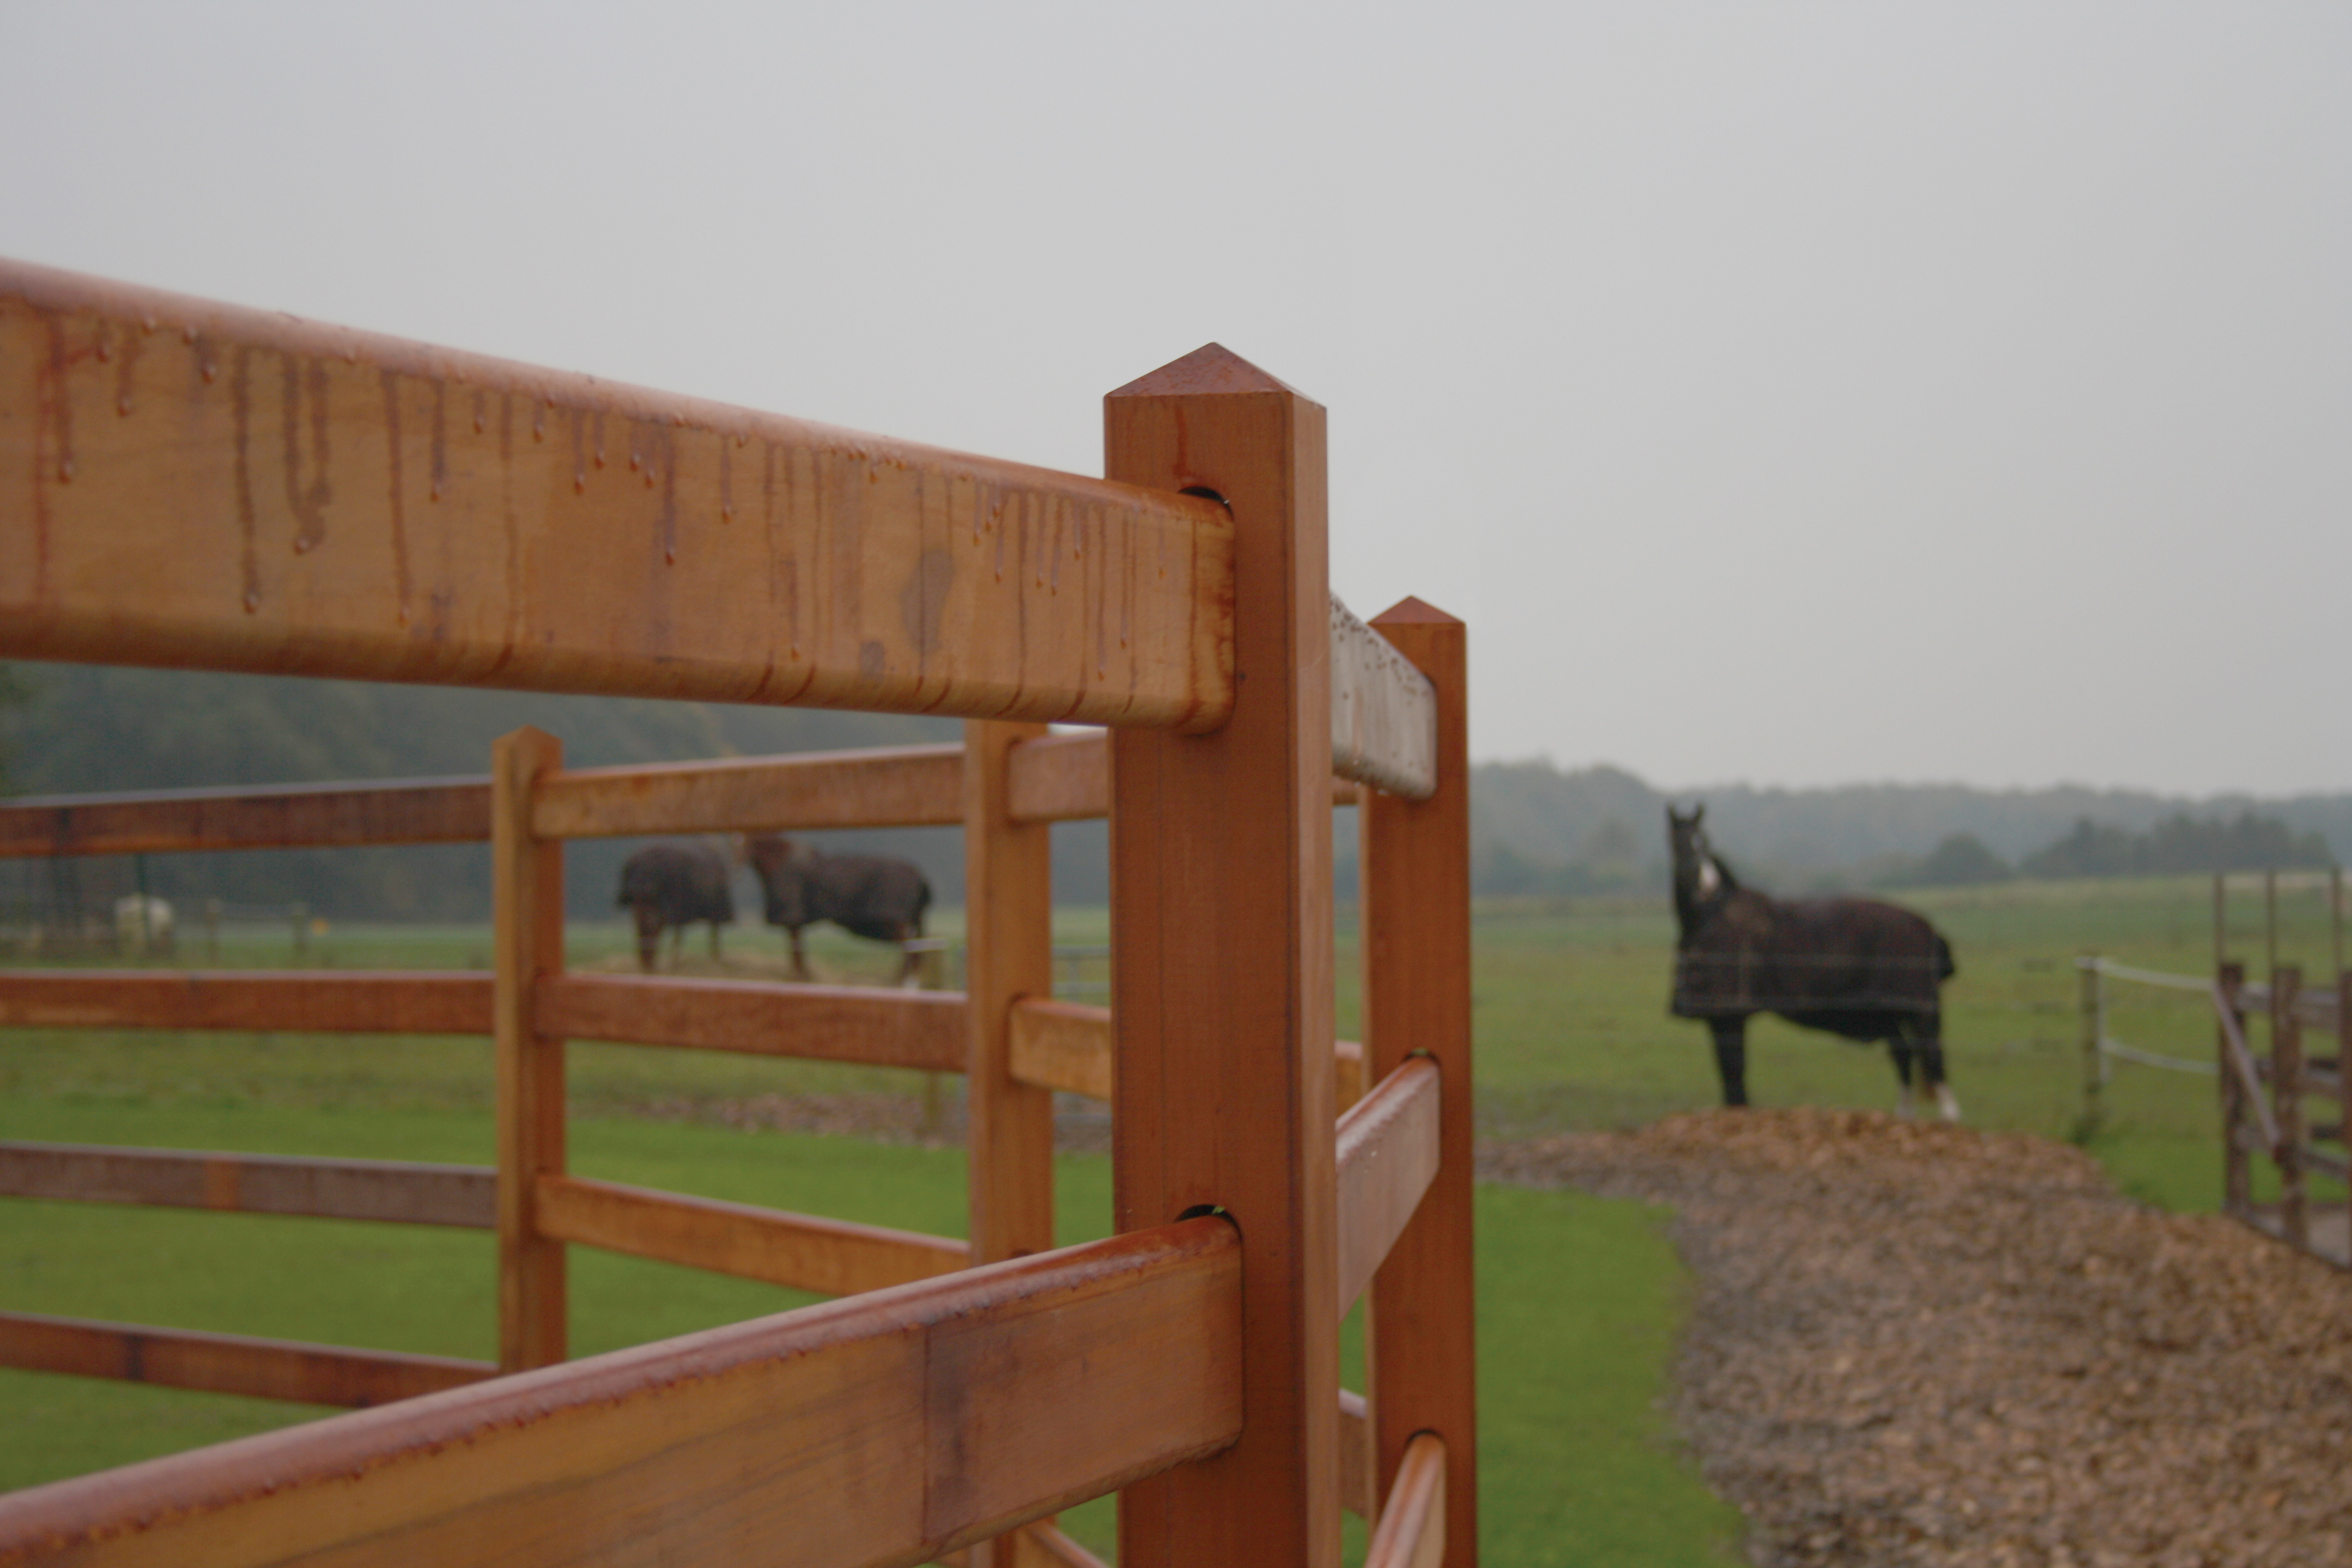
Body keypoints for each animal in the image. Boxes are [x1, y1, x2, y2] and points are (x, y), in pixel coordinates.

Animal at [1674, 808, 1966, 1114]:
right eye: (1680, 841)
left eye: (1704, 840)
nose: (1704, 884)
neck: (1709, 917)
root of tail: (1929, 930)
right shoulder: (1721, 1017)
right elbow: (1732, 1077)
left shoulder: (1728, 1016)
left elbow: (1734, 1075)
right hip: (1892, 1012)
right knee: (1904, 1055)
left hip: (1922, 1011)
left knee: (1933, 1060)